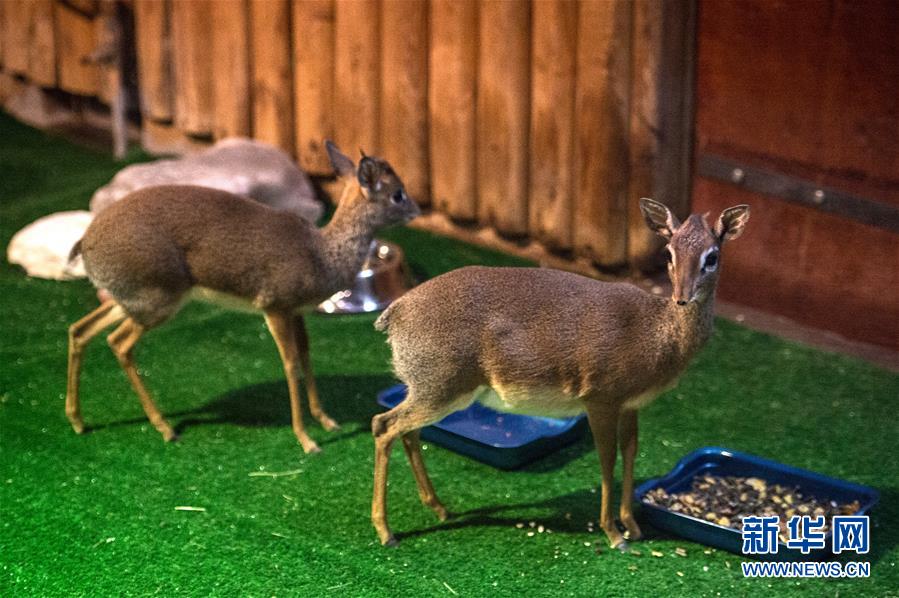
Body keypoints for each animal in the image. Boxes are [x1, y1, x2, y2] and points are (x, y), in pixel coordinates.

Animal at [65, 144, 420, 454]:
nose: (417, 211)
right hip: (157, 302)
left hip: (128, 301)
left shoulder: (297, 311)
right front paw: (306, 440)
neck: (321, 254)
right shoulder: (274, 307)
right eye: (398, 193)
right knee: (118, 342)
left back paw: (78, 421)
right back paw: (165, 428)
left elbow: (307, 357)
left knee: (80, 329)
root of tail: (85, 243)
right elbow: (290, 364)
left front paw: (327, 421)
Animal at [370, 200, 748, 548]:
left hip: (430, 388)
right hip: (442, 385)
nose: (682, 297)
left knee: (405, 430)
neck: (657, 335)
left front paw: (633, 526)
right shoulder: (600, 396)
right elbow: (607, 458)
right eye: (669, 253)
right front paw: (614, 534)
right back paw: (387, 532)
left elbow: (630, 451)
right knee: (384, 425)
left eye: (712, 256)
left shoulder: (630, 403)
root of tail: (392, 315)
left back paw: (439, 508)